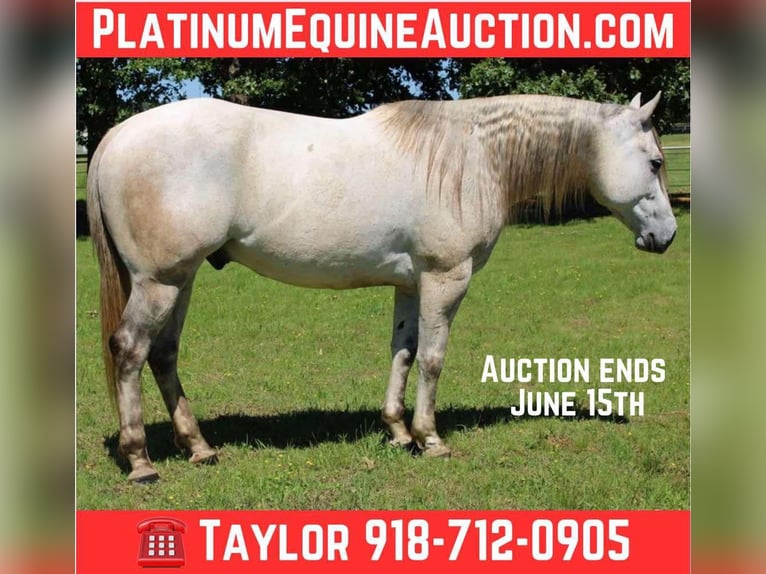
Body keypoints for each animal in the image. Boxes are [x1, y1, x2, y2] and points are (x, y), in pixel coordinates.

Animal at [87, 92, 676, 482]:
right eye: (655, 161)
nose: (666, 236)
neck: (470, 157)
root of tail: (117, 136)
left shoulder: (412, 283)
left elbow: (404, 352)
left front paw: (397, 431)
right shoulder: (446, 278)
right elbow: (433, 359)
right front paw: (431, 438)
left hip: (180, 280)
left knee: (163, 354)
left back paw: (200, 447)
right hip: (160, 282)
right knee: (130, 350)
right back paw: (140, 460)